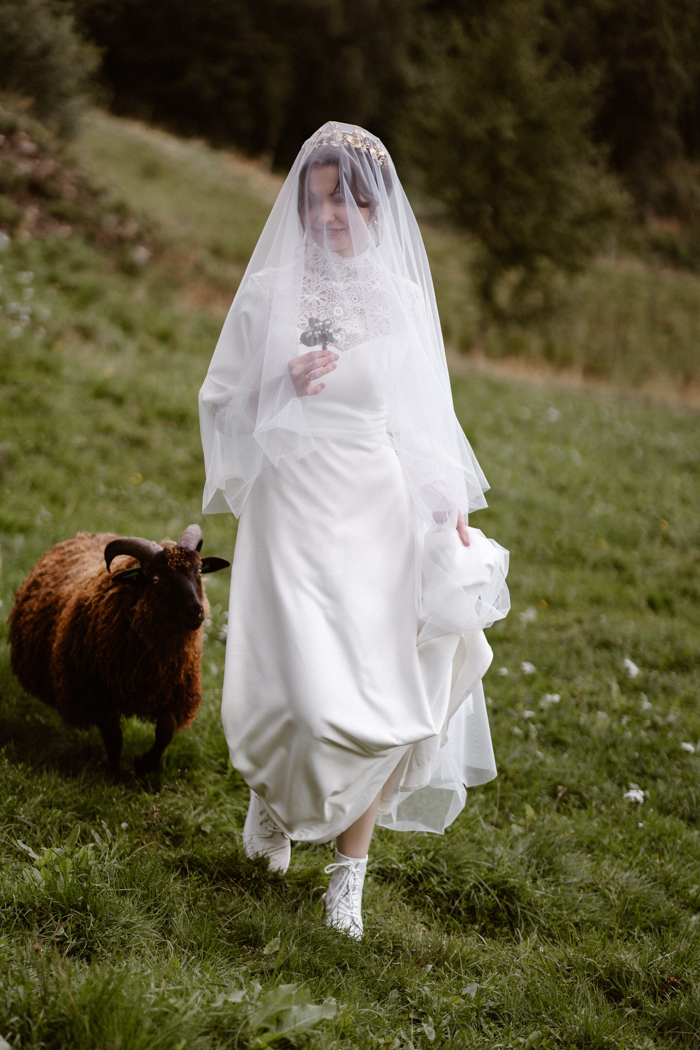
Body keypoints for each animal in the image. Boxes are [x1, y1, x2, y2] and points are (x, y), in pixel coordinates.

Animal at [7, 525, 229, 781]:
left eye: (199, 570)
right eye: (155, 579)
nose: (196, 612)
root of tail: (87, 534)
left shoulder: (168, 691)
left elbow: (167, 729)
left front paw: (145, 764)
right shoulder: (99, 696)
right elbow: (114, 738)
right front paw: (115, 776)